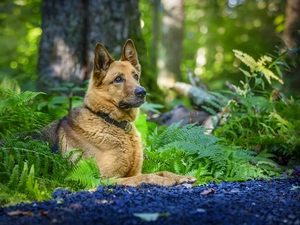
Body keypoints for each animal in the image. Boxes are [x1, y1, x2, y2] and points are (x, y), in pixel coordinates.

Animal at [43, 39, 196, 186]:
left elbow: (163, 171)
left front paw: (180, 177)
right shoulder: (104, 179)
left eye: (135, 76)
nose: (142, 92)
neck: (111, 121)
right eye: (118, 79)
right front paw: (166, 181)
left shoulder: (134, 173)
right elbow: (148, 176)